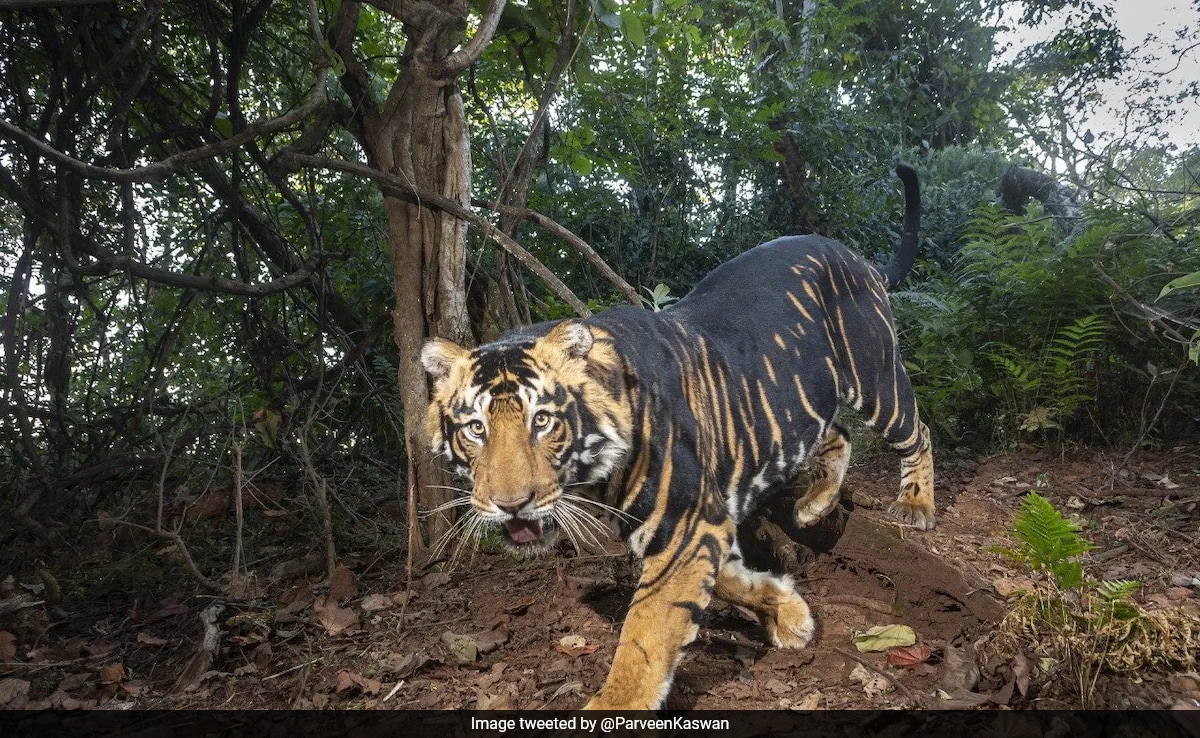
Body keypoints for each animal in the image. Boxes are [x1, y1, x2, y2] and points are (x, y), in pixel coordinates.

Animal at [422, 163, 936, 710]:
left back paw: (916, 505)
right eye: (476, 428)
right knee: (836, 431)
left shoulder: (686, 526)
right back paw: (814, 505)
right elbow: (728, 580)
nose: (511, 505)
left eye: (541, 421)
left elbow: (646, 631)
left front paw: (614, 707)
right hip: (803, 399)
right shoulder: (695, 525)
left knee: (918, 431)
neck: (595, 476)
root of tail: (855, 256)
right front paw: (788, 611)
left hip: (876, 377)